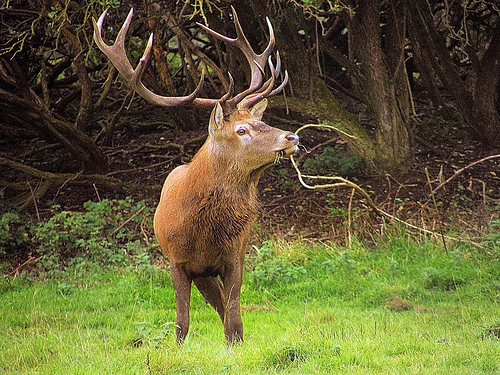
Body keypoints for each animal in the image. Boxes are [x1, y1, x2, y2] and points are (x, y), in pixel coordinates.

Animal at [93, 6, 296, 346]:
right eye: (242, 130)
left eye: (262, 122)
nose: (291, 137)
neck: (200, 230)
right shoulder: (176, 261)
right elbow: (182, 322)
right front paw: (178, 347)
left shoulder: (233, 256)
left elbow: (233, 315)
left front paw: (235, 345)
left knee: (226, 309)